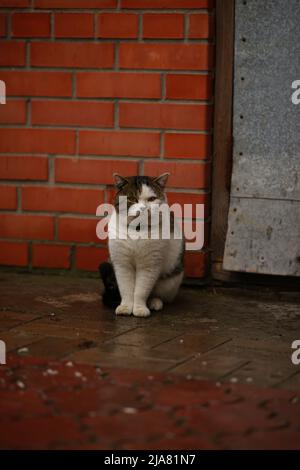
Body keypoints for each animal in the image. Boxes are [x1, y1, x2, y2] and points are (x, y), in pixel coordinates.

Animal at [101, 174, 184, 318]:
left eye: (151, 199)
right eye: (132, 199)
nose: (143, 209)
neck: (137, 230)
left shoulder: (149, 265)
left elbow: (141, 290)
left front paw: (139, 309)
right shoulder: (122, 264)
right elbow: (126, 289)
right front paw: (126, 307)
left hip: (171, 280)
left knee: (156, 293)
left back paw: (154, 303)